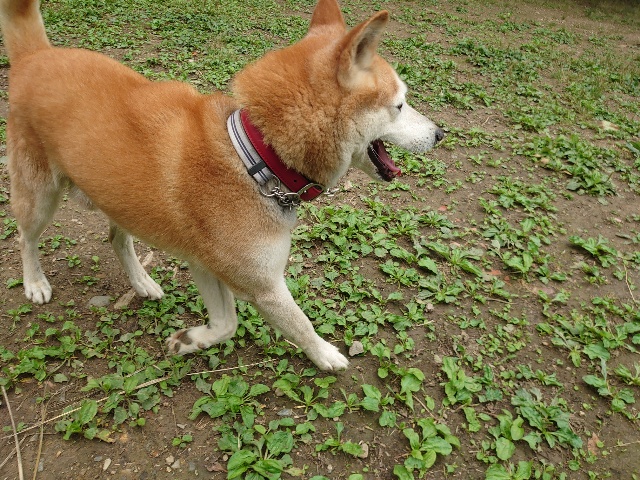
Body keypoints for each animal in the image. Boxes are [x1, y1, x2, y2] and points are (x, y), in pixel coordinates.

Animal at [0, 0, 443, 370]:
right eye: (400, 104)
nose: (441, 133)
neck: (256, 157)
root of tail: (35, 54)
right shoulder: (264, 286)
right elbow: (300, 325)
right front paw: (326, 355)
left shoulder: (205, 264)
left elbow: (227, 324)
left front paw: (190, 340)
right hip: (41, 195)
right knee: (26, 237)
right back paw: (35, 282)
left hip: (120, 198)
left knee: (117, 238)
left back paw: (141, 281)